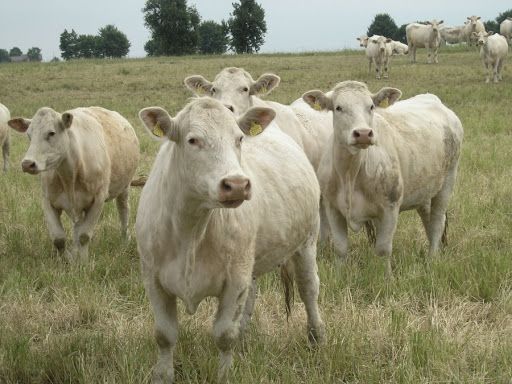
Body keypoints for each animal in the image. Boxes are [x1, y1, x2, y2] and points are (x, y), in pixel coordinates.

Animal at [8, 106, 140, 260]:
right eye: (29, 135)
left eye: (51, 133)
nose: (27, 164)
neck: (69, 174)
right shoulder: (47, 201)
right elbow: (59, 239)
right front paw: (68, 260)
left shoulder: (98, 200)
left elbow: (84, 235)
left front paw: (82, 261)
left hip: (124, 187)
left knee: (123, 210)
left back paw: (125, 239)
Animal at [137, 97, 324, 382]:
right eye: (193, 140)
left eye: (239, 138)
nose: (236, 184)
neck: (191, 230)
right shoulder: (153, 278)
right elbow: (164, 335)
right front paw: (163, 375)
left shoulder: (234, 280)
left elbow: (225, 335)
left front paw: (224, 373)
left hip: (306, 241)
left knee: (309, 288)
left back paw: (316, 336)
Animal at [304, 82, 464, 278]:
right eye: (338, 107)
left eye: (371, 106)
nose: (363, 133)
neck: (350, 173)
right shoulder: (332, 207)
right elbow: (341, 248)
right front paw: (339, 276)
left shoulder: (389, 208)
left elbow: (383, 249)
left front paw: (387, 278)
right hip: (425, 189)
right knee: (428, 218)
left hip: (447, 182)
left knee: (437, 222)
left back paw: (432, 258)